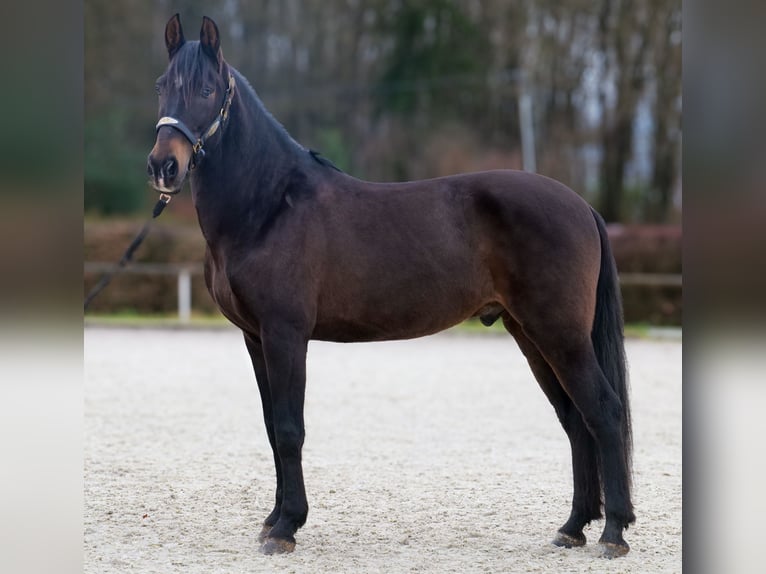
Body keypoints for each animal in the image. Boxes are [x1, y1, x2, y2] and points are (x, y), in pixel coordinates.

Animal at [147, 14, 635, 558]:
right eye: (162, 86)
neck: (270, 206)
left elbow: (290, 430)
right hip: (531, 335)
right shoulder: (256, 339)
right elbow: (273, 429)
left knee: (604, 412)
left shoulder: (285, 334)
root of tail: (582, 205)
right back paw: (573, 527)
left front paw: (287, 527)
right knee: (575, 420)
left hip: (561, 336)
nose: (164, 166)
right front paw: (272, 520)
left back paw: (613, 533)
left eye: (206, 89)